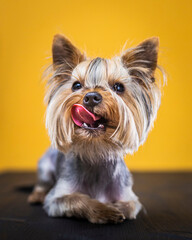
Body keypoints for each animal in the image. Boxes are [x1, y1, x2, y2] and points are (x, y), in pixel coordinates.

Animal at [27, 34, 164, 223]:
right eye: (76, 85)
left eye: (118, 87)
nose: (91, 97)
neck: (96, 151)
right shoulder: (56, 199)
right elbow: (76, 199)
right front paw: (104, 210)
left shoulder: (130, 198)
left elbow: (129, 207)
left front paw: (115, 207)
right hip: (45, 167)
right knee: (42, 184)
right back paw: (36, 195)